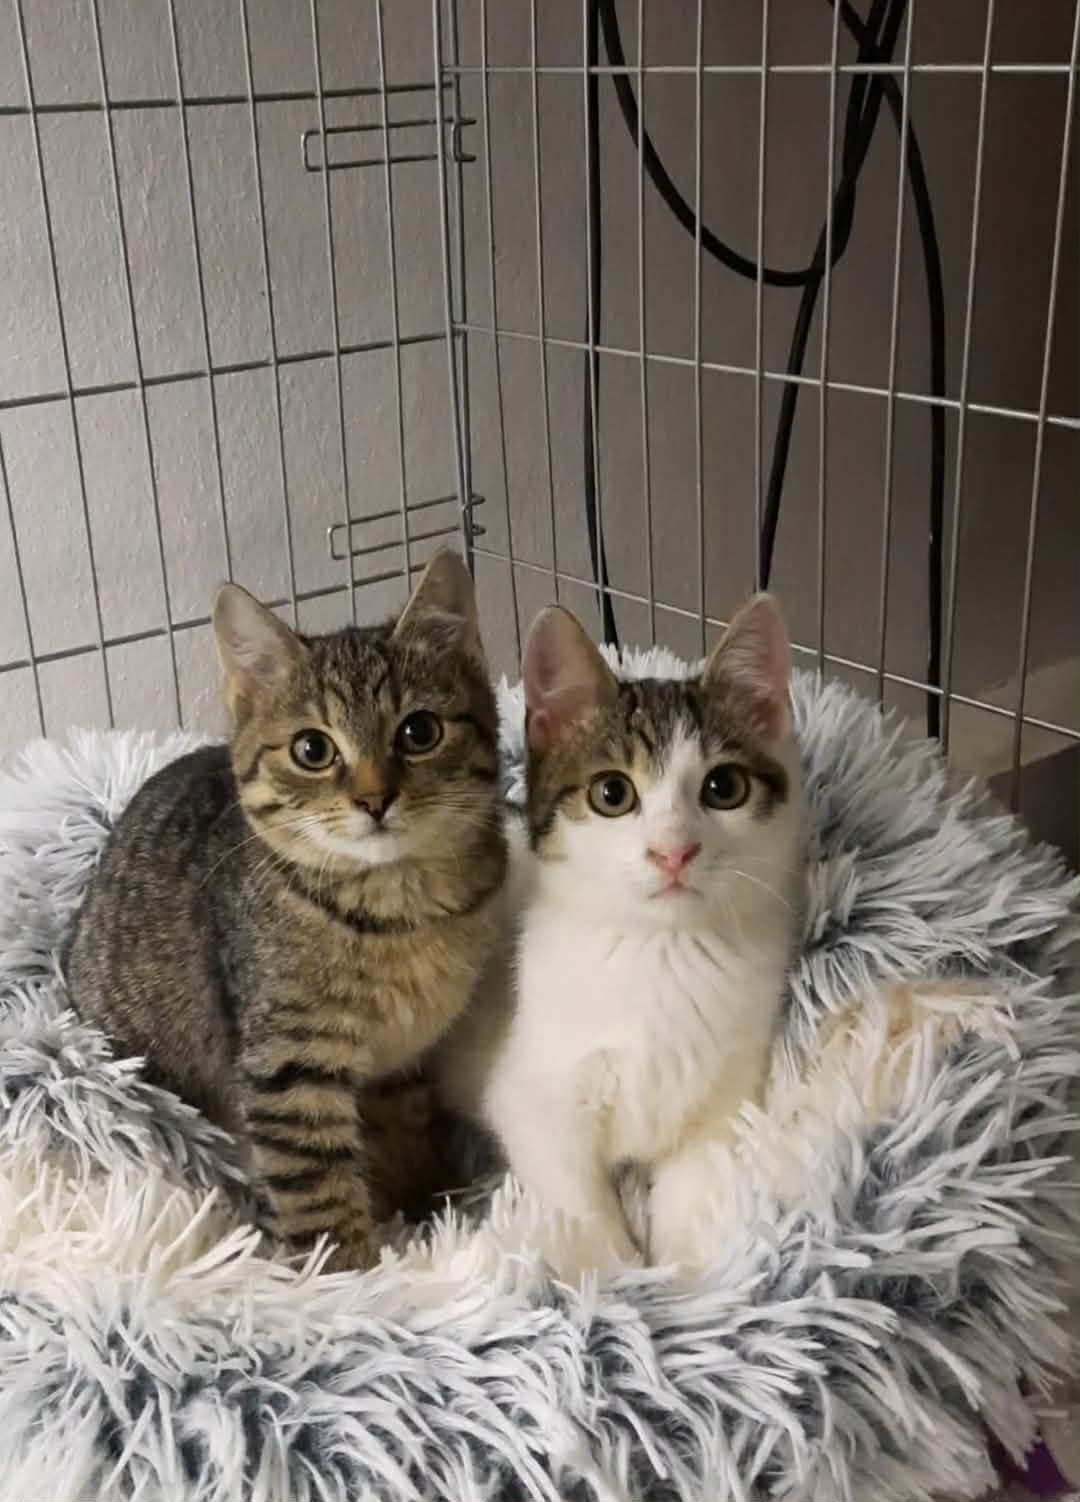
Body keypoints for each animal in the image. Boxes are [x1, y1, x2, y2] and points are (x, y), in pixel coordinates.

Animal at [63, 550, 507, 1271]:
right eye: (312, 749)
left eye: (419, 731)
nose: (375, 799)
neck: (397, 909)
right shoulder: (289, 1062)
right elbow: (316, 1181)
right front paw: (354, 1274)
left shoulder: (399, 1065)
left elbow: (406, 1133)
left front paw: (423, 1208)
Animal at [437, 593, 803, 1273]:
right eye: (613, 793)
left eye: (724, 787)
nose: (673, 851)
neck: (661, 953)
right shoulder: (530, 1097)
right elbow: (578, 1202)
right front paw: (614, 1280)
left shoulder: (724, 1098)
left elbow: (694, 1187)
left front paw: (694, 1285)